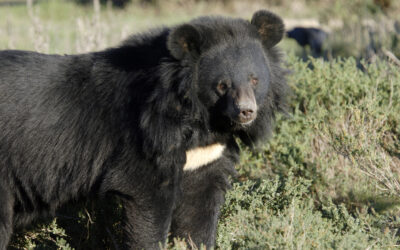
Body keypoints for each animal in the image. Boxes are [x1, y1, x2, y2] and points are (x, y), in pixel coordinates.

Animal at [0, 9, 288, 248]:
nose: (246, 112)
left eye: (254, 80)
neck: (201, 120)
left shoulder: (207, 155)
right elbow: (148, 202)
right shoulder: (145, 139)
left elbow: (199, 210)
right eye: (222, 85)